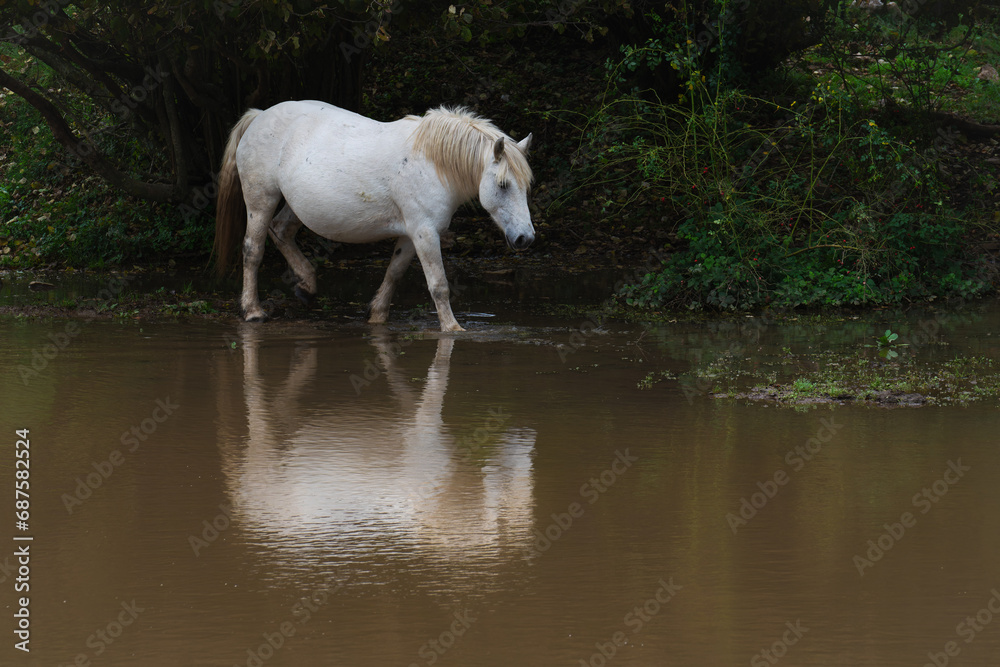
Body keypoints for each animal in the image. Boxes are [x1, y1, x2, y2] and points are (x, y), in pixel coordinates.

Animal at [213, 101, 535, 332]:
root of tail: (259, 116)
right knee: (253, 250)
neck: (432, 163)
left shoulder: (411, 235)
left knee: (281, 231)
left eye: (525, 186)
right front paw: (453, 329)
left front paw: (376, 315)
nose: (525, 238)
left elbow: (394, 273)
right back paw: (253, 311)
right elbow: (438, 285)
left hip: (294, 205)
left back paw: (307, 287)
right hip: (260, 200)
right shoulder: (425, 232)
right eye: (503, 185)